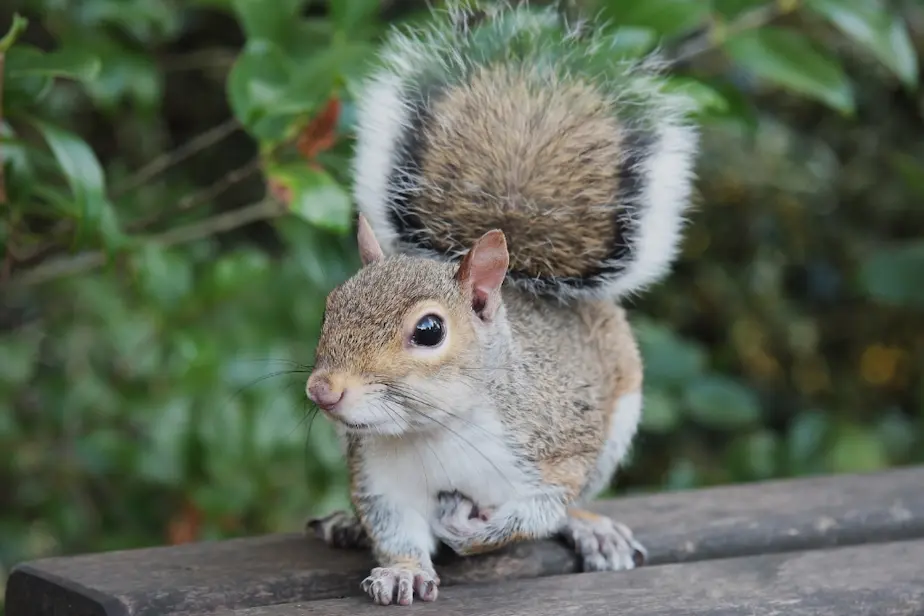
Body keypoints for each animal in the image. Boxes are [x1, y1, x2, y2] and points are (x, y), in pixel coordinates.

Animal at [303, 0, 698, 607]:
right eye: (330, 307)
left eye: (429, 331)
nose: (323, 390)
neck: (435, 431)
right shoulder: (379, 479)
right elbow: (395, 530)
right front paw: (402, 570)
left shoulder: (558, 452)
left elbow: (537, 513)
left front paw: (477, 531)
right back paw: (346, 526)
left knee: (571, 506)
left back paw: (593, 528)